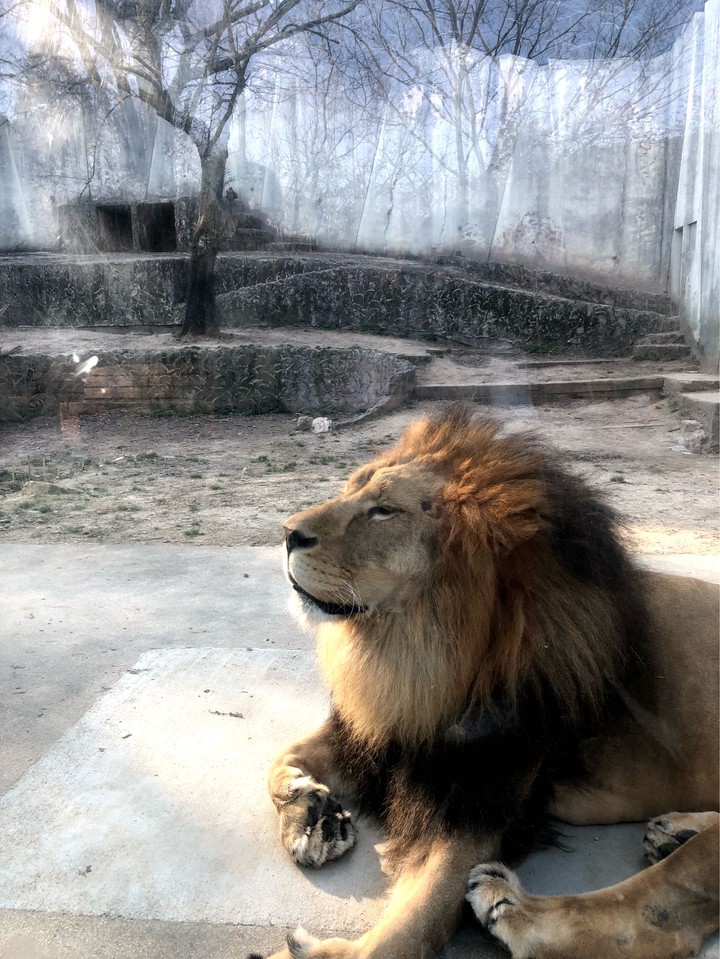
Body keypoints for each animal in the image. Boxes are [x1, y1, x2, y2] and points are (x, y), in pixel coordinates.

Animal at [259, 406, 719, 959]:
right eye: (350, 488)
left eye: (384, 511)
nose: (286, 531)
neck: (420, 659)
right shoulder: (378, 732)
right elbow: (280, 759)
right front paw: (310, 812)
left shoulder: (478, 804)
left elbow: (403, 934)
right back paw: (676, 830)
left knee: (661, 910)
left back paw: (513, 908)